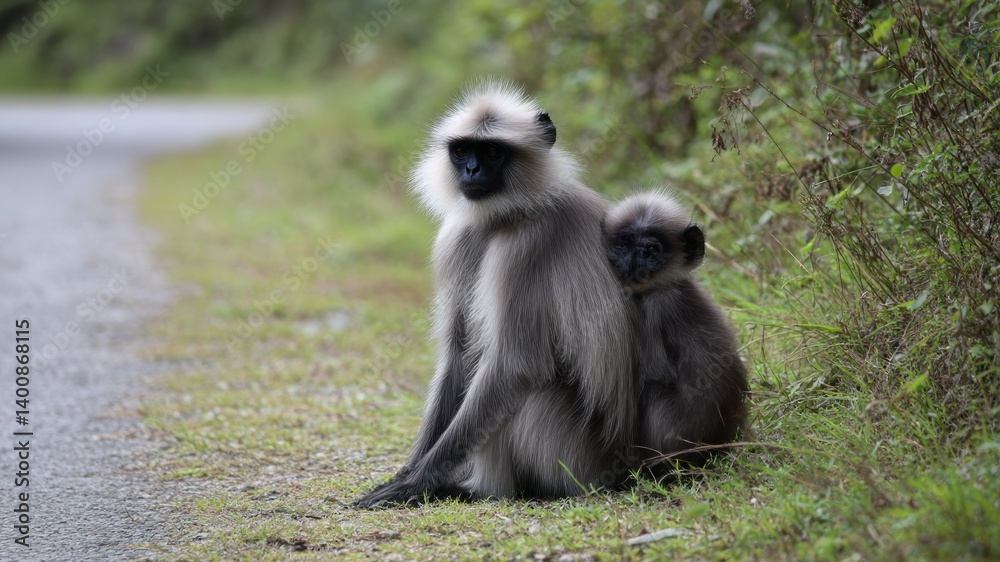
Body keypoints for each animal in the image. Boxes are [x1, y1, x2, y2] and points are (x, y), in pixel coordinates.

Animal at [356, 80, 636, 508]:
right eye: (461, 151)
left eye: (490, 152)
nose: (471, 170)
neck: (503, 218)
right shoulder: (455, 238)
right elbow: (457, 355)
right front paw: (410, 471)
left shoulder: (523, 247)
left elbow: (514, 364)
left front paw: (417, 482)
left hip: (577, 461)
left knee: (526, 389)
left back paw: (478, 488)